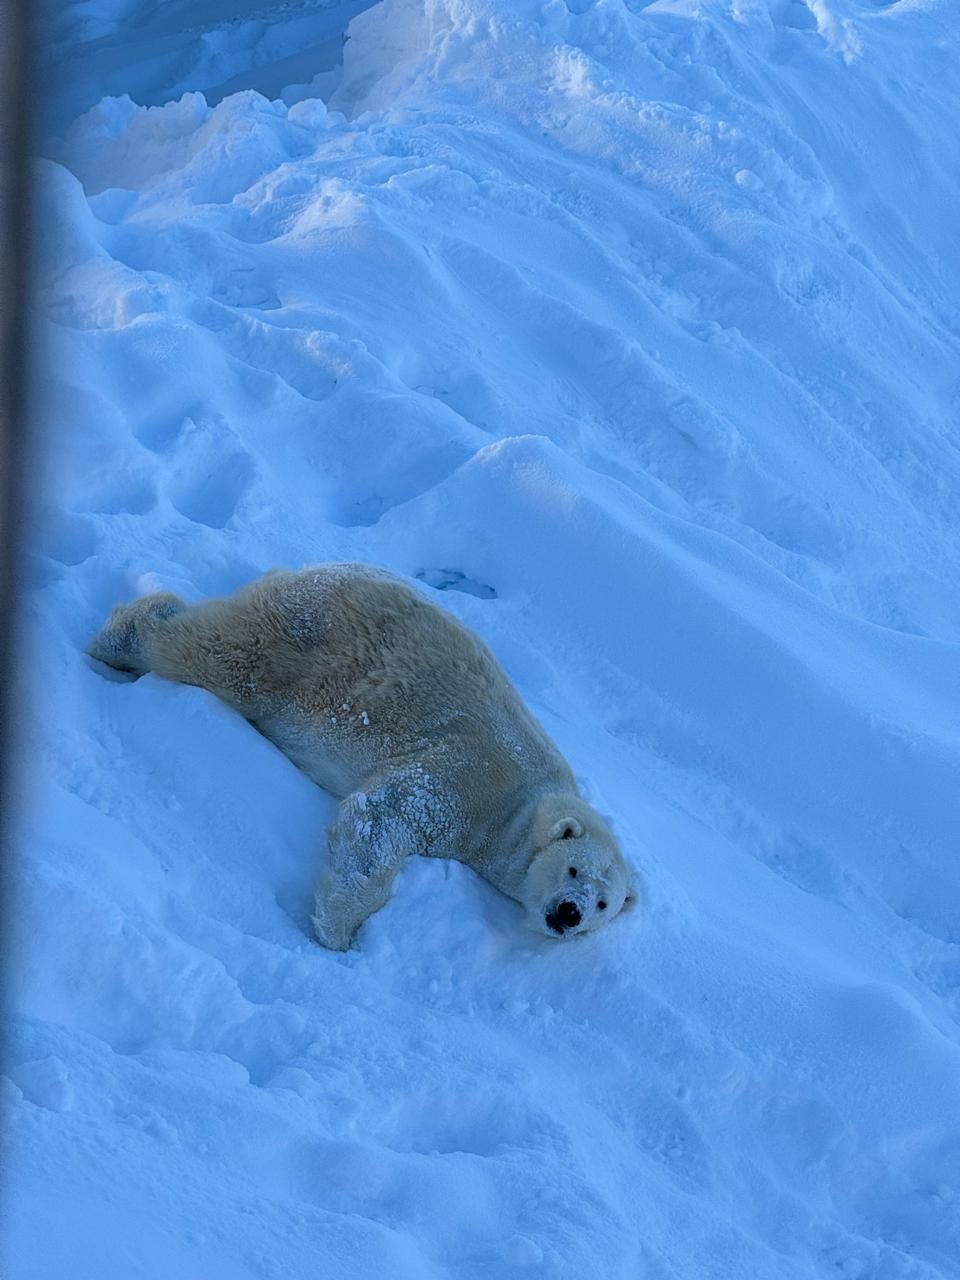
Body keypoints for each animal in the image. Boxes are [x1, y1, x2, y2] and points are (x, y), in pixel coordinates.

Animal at [89, 563, 636, 949]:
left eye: (603, 903)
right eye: (573, 871)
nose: (569, 913)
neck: (528, 803)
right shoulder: (472, 777)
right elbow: (384, 816)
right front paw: (337, 933)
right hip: (308, 642)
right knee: (215, 653)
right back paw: (117, 640)